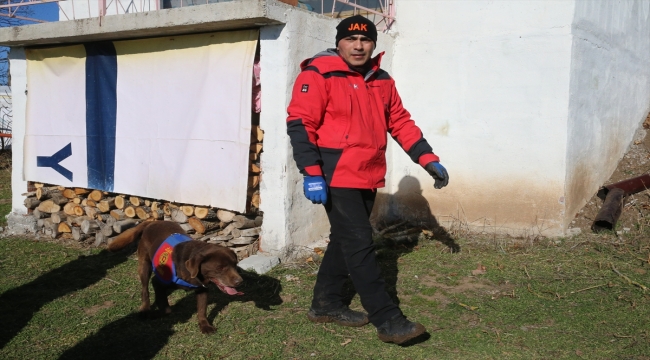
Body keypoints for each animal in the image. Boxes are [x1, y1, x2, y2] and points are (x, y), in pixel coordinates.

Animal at [107, 221, 243, 334]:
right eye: (220, 268)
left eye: (235, 264)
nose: (239, 282)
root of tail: (151, 221)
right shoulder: (158, 282)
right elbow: (167, 309)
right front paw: (154, 314)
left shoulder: (202, 289)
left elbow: (202, 310)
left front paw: (204, 326)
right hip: (144, 264)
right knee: (144, 288)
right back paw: (145, 309)